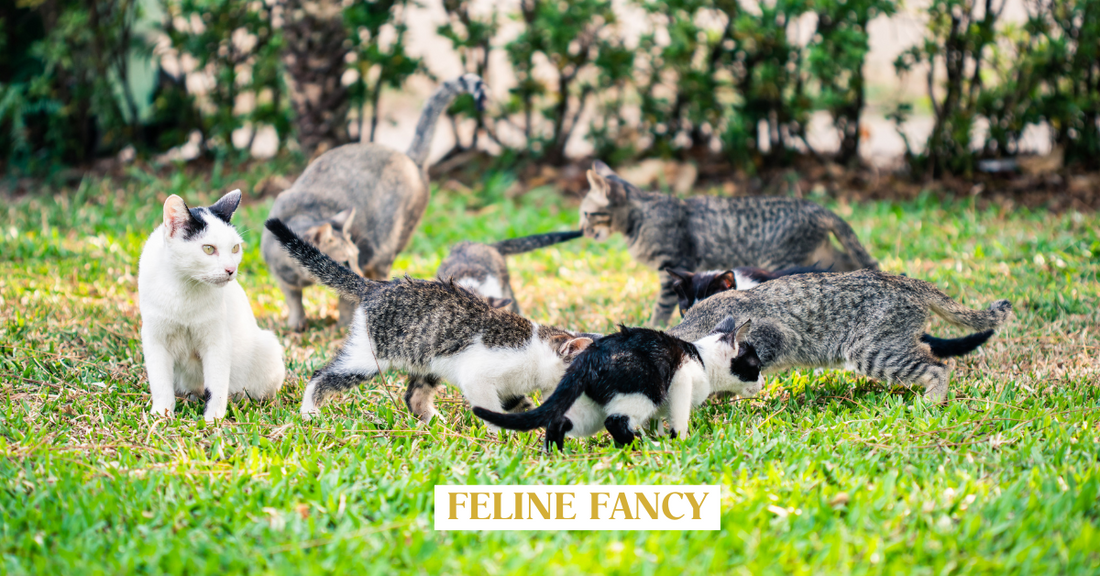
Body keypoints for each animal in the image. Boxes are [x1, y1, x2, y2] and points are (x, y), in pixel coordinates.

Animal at [137, 191, 286, 419]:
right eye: (208, 249)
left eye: (235, 248)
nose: (231, 269)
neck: (184, 288)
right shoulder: (154, 338)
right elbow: (161, 384)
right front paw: (161, 415)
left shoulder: (217, 340)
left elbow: (216, 387)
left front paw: (212, 420)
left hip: (268, 348)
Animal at [259, 74, 488, 329]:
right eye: (345, 262)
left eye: (354, 258)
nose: (357, 271)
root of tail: (407, 156)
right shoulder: (282, 277)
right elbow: (293, 300)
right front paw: (296, 323)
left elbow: (346, 300)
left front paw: (343, 324)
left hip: (387, 245)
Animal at [473, 316, 765, 452]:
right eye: (757, 366)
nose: (763, 382)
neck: (701, 358)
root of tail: (590, 355)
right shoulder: (681, 380)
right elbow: (678, 418)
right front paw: (678, 441)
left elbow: (657, 421)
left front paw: (659, 434)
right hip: (644, 390)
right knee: (615, 422)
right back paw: (641, 446)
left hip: (591, 407)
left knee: (560, 421)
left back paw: (555, 453)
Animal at [576, 159, 875, 325]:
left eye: (586, 213)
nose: (581, 229)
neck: (640, 216)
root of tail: (816, 207)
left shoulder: (674, 260)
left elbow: (661, 306)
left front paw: (653, 324)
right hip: (822, 254)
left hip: (783, 257)